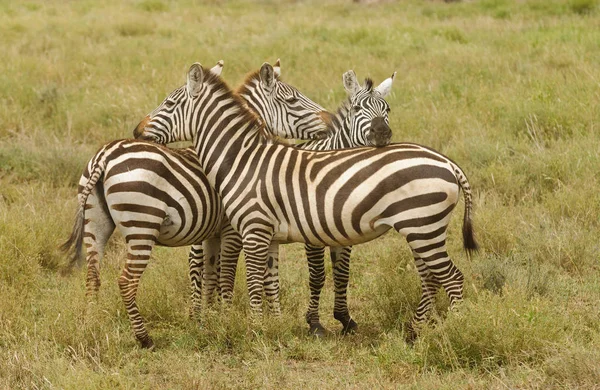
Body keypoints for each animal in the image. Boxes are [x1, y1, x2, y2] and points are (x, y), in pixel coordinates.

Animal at [61, 61, 332, 350]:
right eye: (293, 100)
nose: (330, 120)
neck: (241, 153)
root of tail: (106, 155)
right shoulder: (233, 230)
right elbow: (229, 275)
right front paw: (227, 319)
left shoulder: (212, 232)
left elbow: (212, 273)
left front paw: (208, 320)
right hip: (142, 226)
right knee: (126, 281)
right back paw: (144, 338)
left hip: (95, 224)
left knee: (92, 275)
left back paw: (91, 326)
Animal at [134, 63, 476, 344]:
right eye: (358, 107)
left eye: (168, 103)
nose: (137, 130)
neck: (243, 159)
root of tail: (446, 161)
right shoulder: (271, 233)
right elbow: (269, 280)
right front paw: (271, 326)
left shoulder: (255, 230)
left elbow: (253, 280)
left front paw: (253, 330)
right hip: (421, 229)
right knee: (432, 277)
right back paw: (415, 331)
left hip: (423, 227)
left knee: (451, 278)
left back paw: (454, 332)